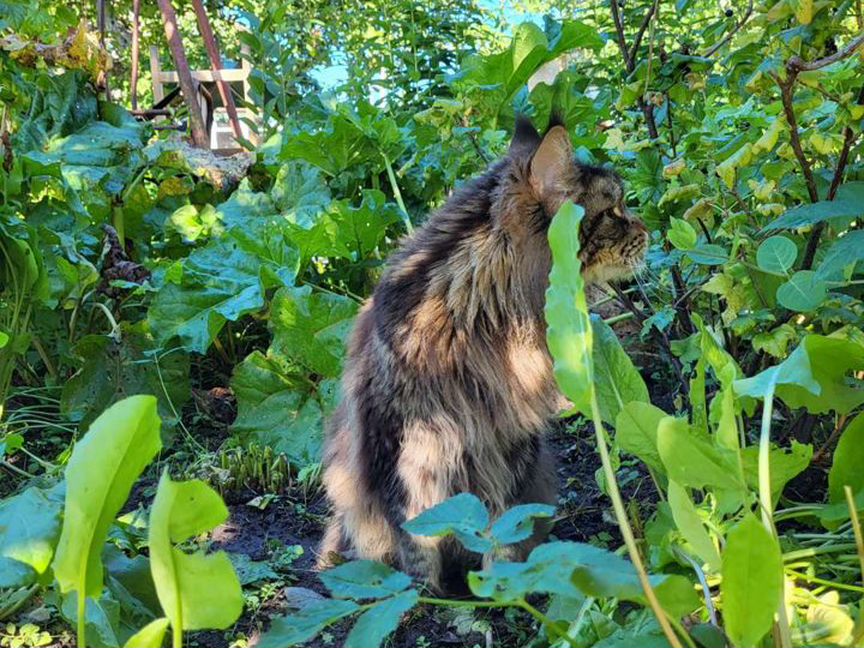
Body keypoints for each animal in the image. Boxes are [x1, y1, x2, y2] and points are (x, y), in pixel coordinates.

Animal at [318, 115, 648, 592]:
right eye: (614, 211)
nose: (647, 230)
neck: (479, 319)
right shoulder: (398, 445)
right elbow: (415, 537)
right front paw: (427, 597)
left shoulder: (509, 439)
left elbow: (503, 525)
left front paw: (502, 587)